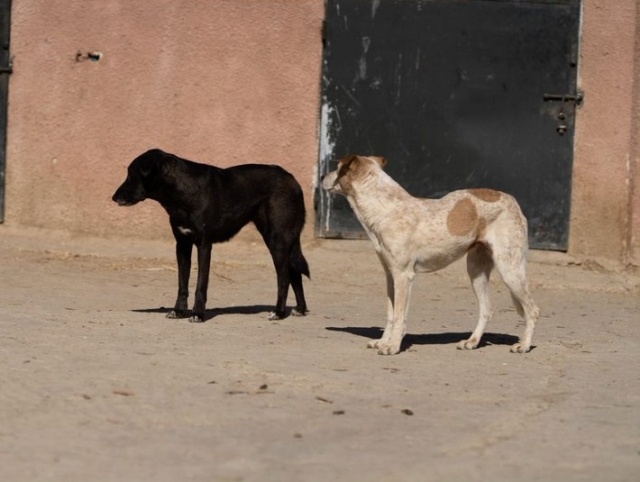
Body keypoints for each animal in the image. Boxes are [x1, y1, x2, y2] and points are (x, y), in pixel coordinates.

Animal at [112, 149, 310, 322]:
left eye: (131, 175)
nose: (113, 198)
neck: (183, 191)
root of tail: (292, 179)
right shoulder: (182, 245)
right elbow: (182, 284)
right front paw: (178, 311)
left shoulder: (204, 245)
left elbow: (201, 284)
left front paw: (198, 314)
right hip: (280, 240)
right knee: (294, 272)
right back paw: (300, 309)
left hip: (277, 240)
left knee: (284, 278)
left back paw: (279, 312)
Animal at [320, 156, 540, 356]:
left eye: (337, 168)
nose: (321, 176)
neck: (386, 208)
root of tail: (511, 199)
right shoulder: (390, 276)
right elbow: (390, 314)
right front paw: (383, 341)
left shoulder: (404, 276)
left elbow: (399, 316)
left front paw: (392, 346)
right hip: (476, 271)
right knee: (487, 309)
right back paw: (472, 342)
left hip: (509, 269)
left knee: (532, 309)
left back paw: (524, 345)